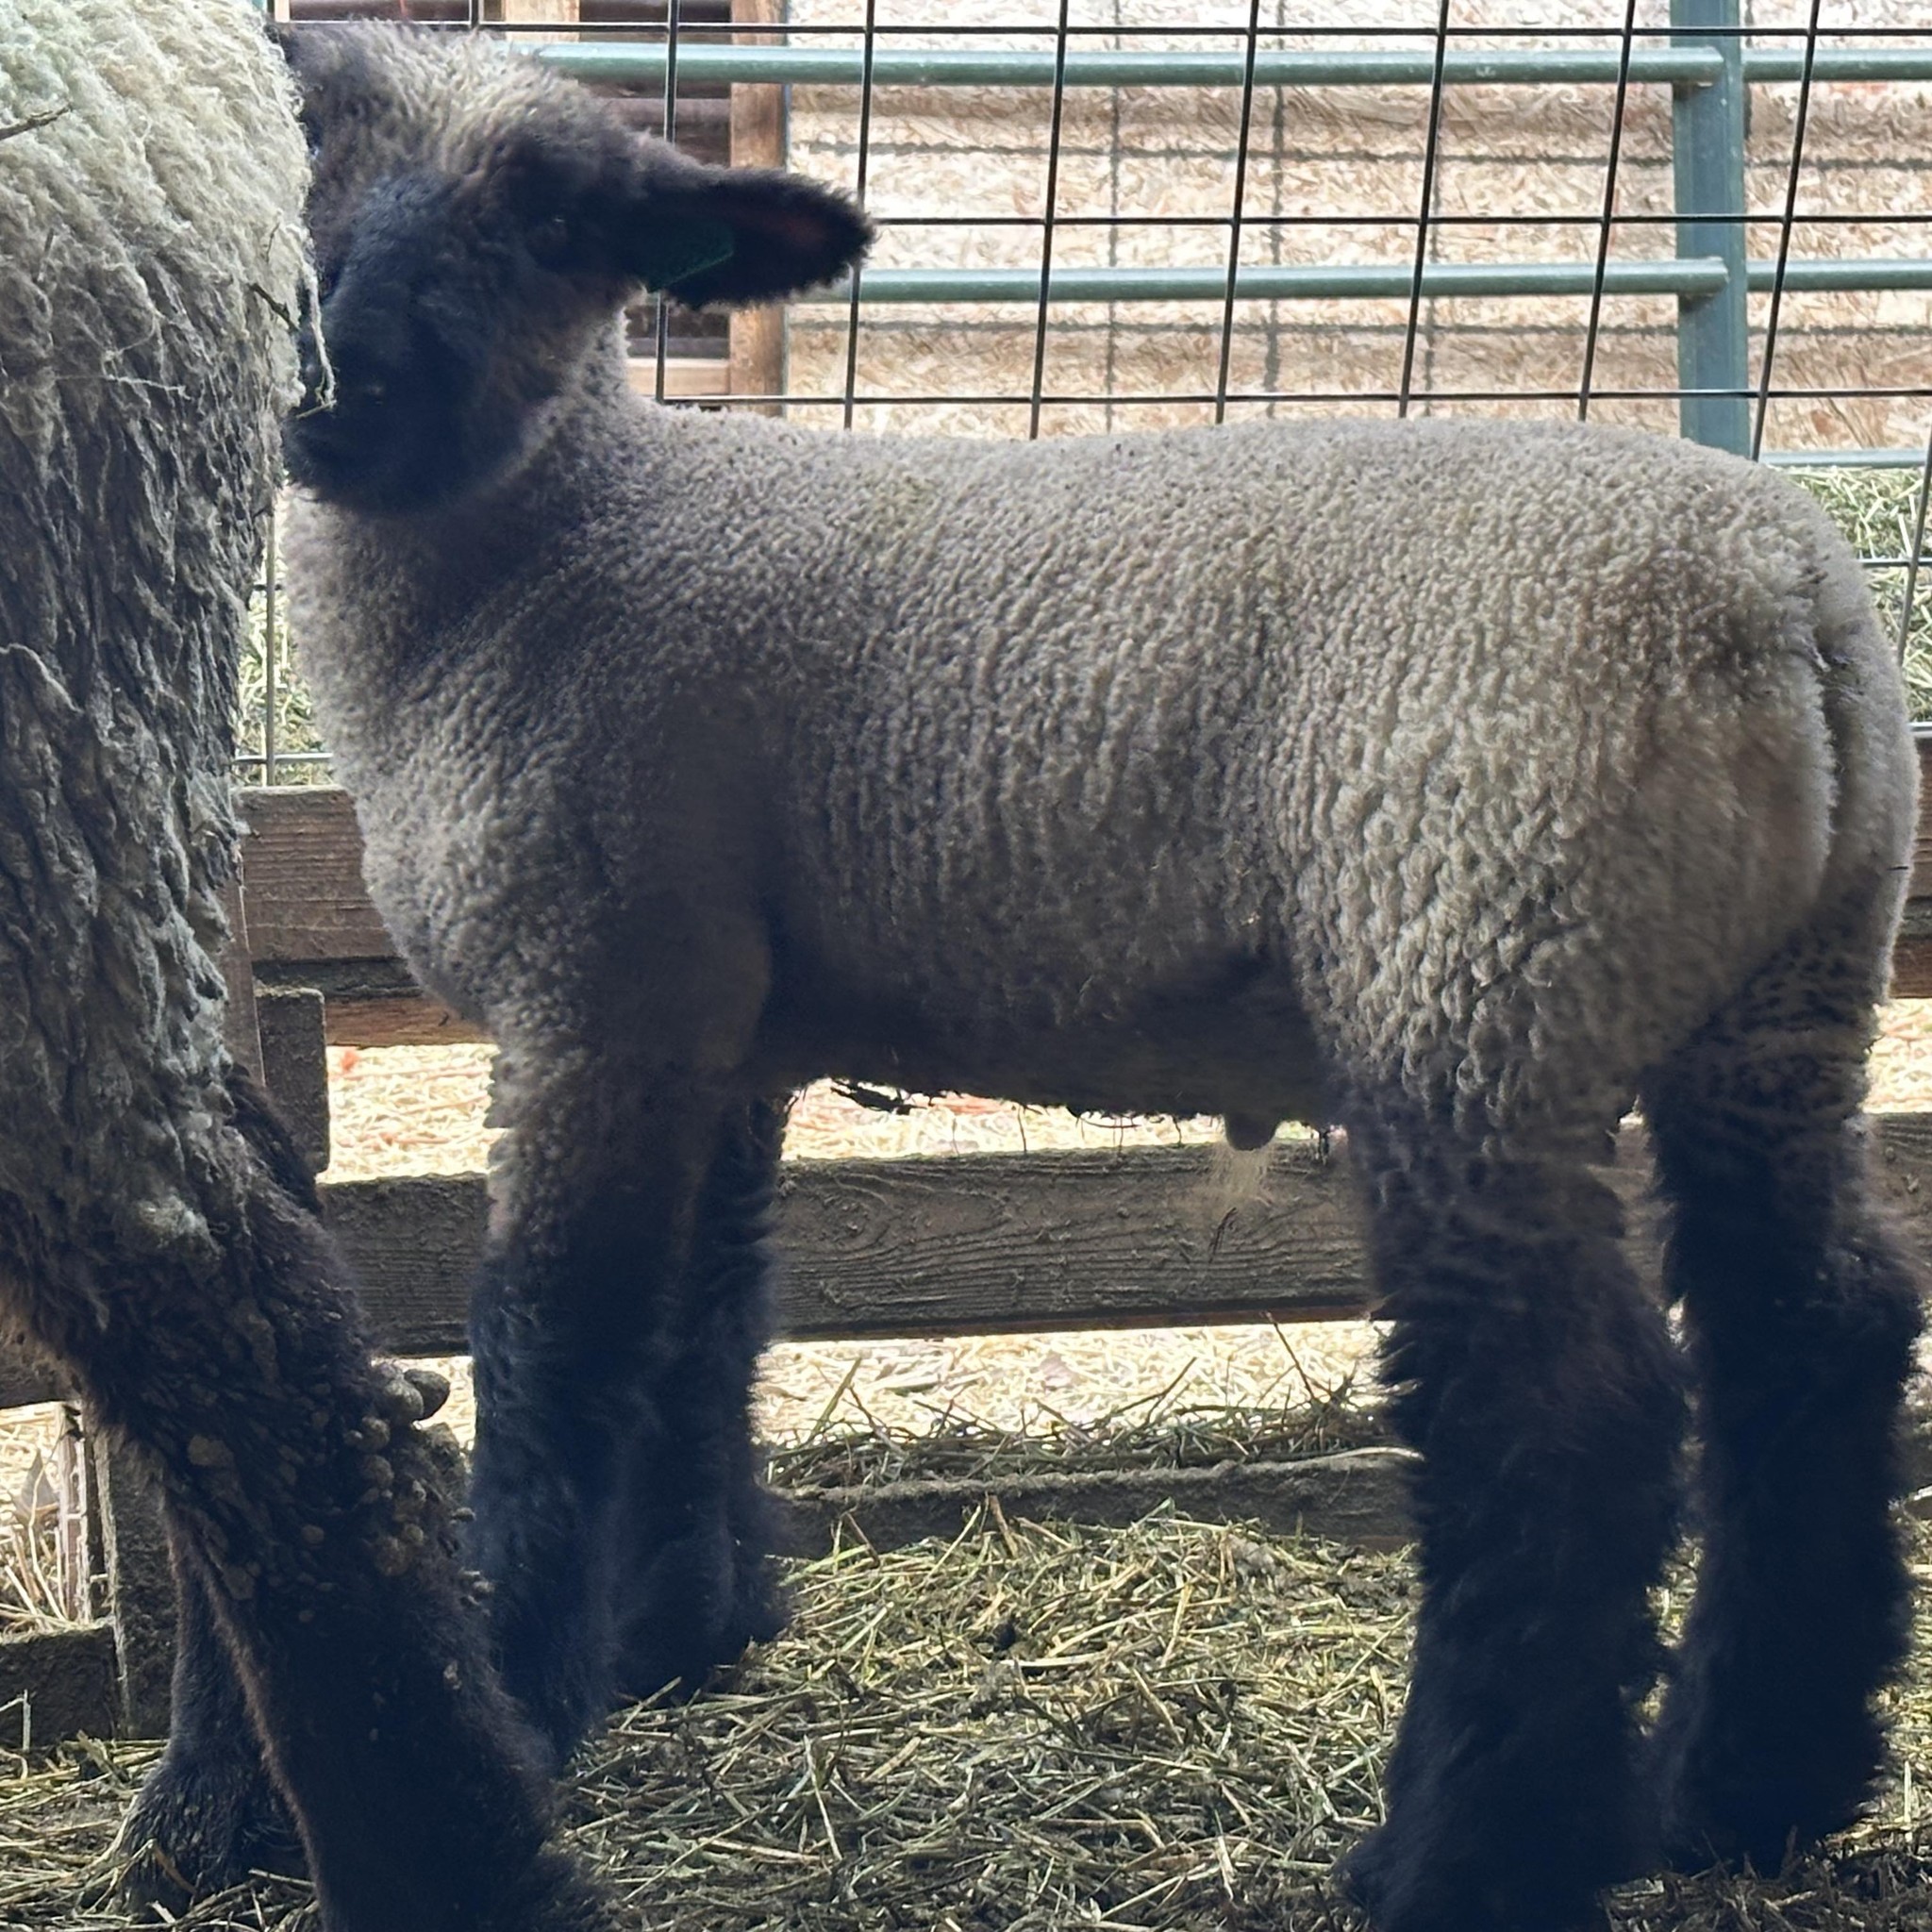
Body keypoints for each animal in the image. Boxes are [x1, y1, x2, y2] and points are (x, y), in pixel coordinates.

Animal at [274, 22, 1923, 1931]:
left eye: (551, 219)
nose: (341, 382)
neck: (550, 542)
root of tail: (1785, 604)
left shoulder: (592, 982)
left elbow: (554, 1333)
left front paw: (531, 1684)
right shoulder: (717, 1012)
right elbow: (706, 1309)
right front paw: (687, 1627)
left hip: (1469, 968)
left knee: (1561, 1419)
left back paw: (1460, 1851)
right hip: (1780, 1001)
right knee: (1812, 1331)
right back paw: (1757, 1786)